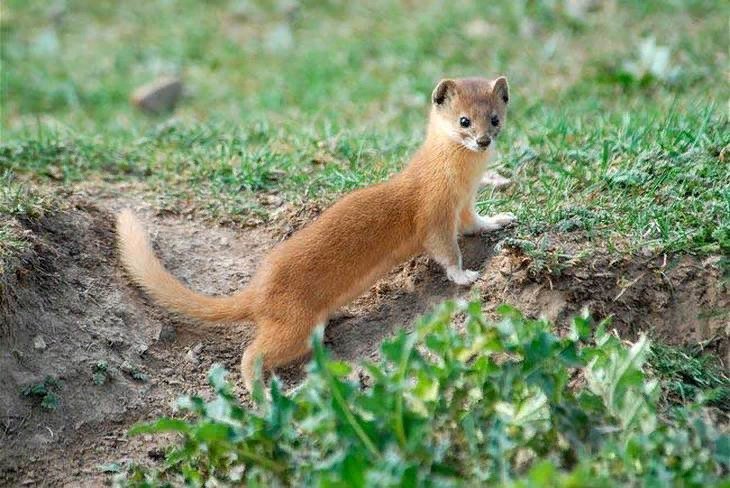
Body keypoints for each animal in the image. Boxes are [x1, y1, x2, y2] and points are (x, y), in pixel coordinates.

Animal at [118, 77, 512, 392]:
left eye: (495, 118)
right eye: (463, 120)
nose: (483, 140)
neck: (459, 182)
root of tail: (258, 288)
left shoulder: (464, 206)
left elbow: (475, 223)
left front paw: (501, 218)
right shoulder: (434, 213)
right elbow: (445, 250)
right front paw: (466, 275)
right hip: (295, 325)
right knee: (251, 353)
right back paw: (260, 391)